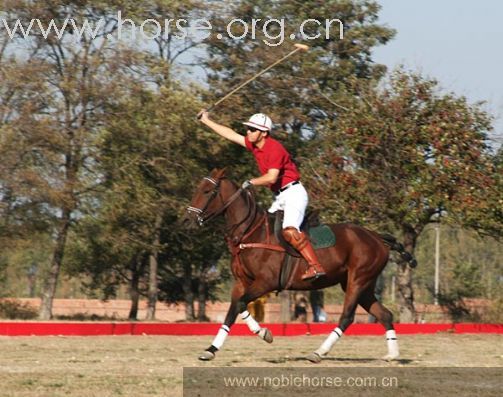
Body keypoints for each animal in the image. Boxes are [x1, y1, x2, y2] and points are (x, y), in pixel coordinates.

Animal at [187, 168, 416, 362]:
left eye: (206, 191)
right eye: (197, 188)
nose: (188, 219)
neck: (250, 232)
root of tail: (376, 237)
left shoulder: (266, 282)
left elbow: (242, 305)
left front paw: (265, 333)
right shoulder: (241, 283)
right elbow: (232, 311)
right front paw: (210, 350)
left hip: (358, 280)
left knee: (347, 317)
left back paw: (319, 352)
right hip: (363, 285)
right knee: (385, 314)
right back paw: (393, 355)